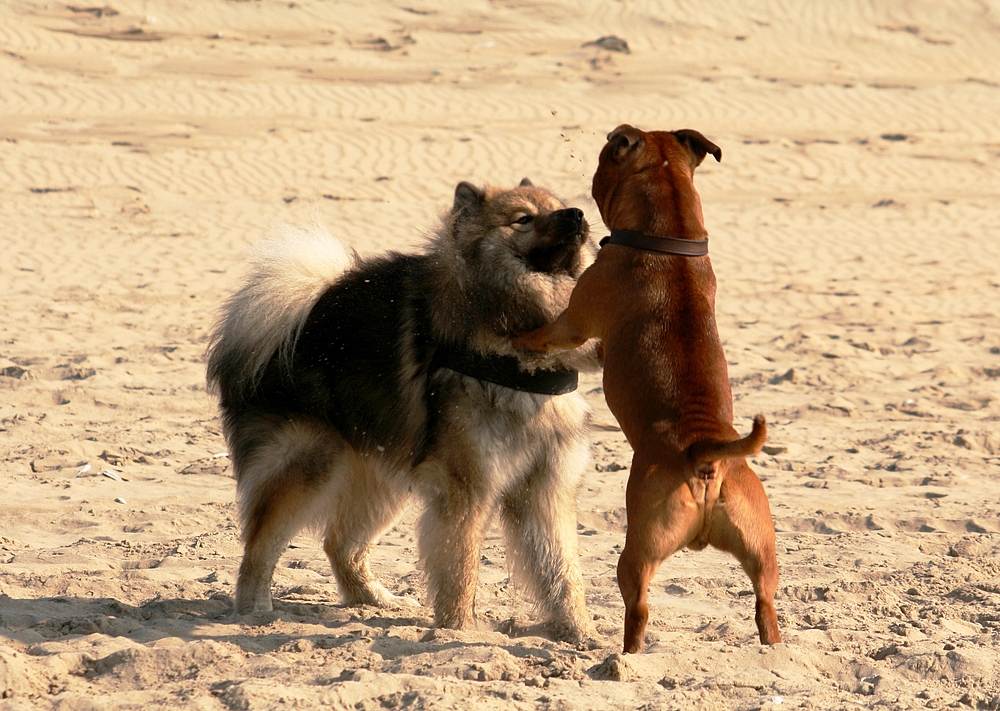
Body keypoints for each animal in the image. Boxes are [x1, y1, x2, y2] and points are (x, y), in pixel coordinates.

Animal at [206, 181, 596, 644]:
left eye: (559, 207)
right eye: (524, 219)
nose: (577, 215)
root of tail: (304, 311)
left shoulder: (544, 489)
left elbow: (562, 571)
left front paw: (580, 632)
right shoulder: (466, 488)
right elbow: (460, 568)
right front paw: (457, 632)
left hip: (382, 474)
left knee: (340, 544)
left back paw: (375, 599)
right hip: (307, 463)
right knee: (260, 547)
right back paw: (255, 611)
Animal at [516, 125, 780, 652]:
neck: (669, 239)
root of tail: (705, 454)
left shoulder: (572, 323)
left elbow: (543, 335)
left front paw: (517, 341)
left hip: (637, 552)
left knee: (637, 609)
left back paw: (625, 656)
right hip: (762, 550)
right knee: (766, 604)